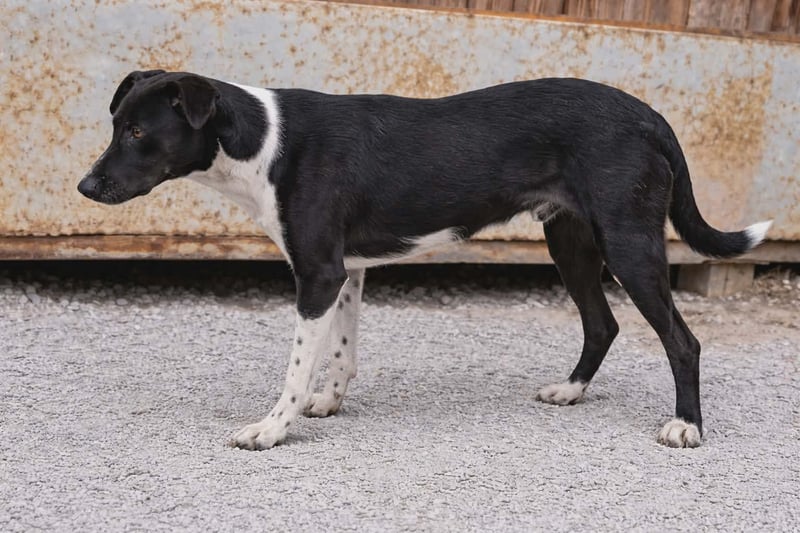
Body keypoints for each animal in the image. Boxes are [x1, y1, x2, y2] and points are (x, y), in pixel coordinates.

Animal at [78, 70, 771, 450]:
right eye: (115, 125)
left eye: (138, 133)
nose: (85, 188)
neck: (263, 140)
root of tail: (650, 114)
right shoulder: (346, 272)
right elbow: (341, 352)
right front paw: (327, 404)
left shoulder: (318, 274)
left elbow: (297, 367)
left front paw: (274, 428)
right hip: (571, 240)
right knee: (603, 323)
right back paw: (570, 391)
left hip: (628, 242)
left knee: (683, 341)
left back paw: (685, 427)